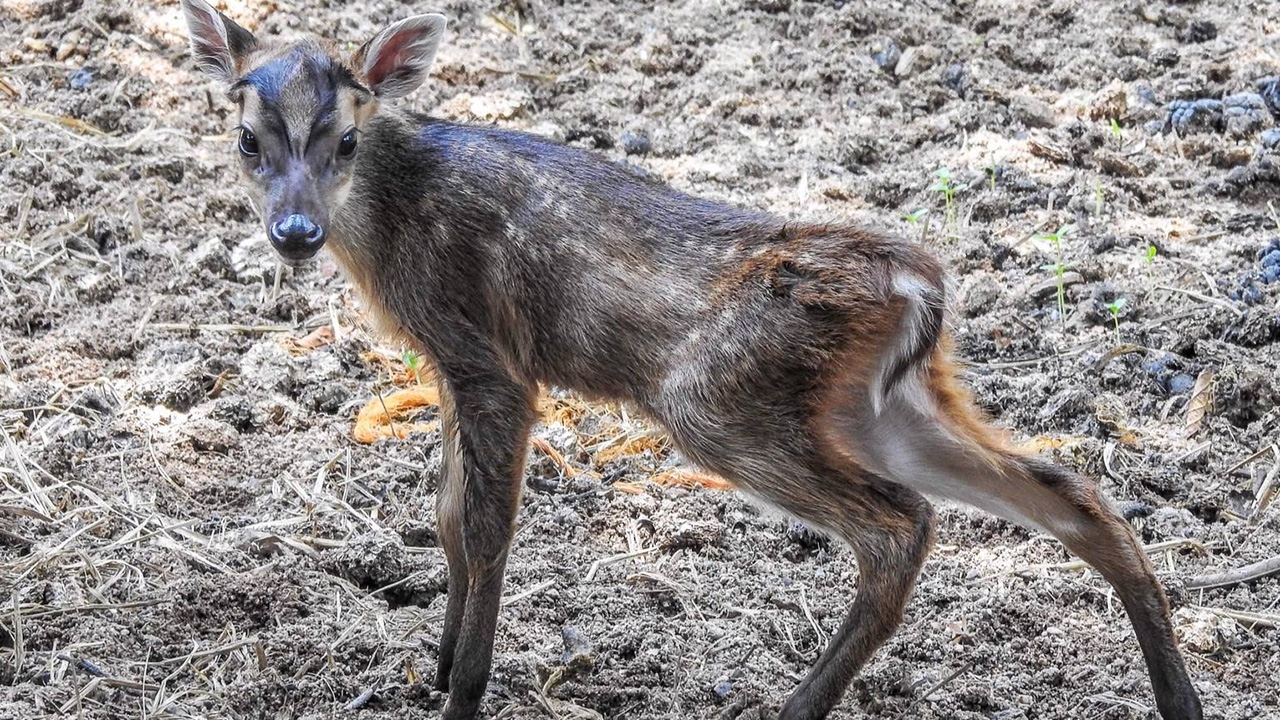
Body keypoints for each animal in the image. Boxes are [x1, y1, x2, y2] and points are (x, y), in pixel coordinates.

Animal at [185, 5, 1203, 717]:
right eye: (246, 139)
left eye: (346, 139)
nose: (294, 233)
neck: (392, 217)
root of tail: (921, 288)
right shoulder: (445, 364)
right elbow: (443, 518)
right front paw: (433, 671)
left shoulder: (490, 358)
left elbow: (484, 527)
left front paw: (464, 691)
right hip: (882, 404)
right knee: (1071, 492)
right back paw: (1178, 698)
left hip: (720, 402)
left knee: (900, 524)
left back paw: (795, 706)